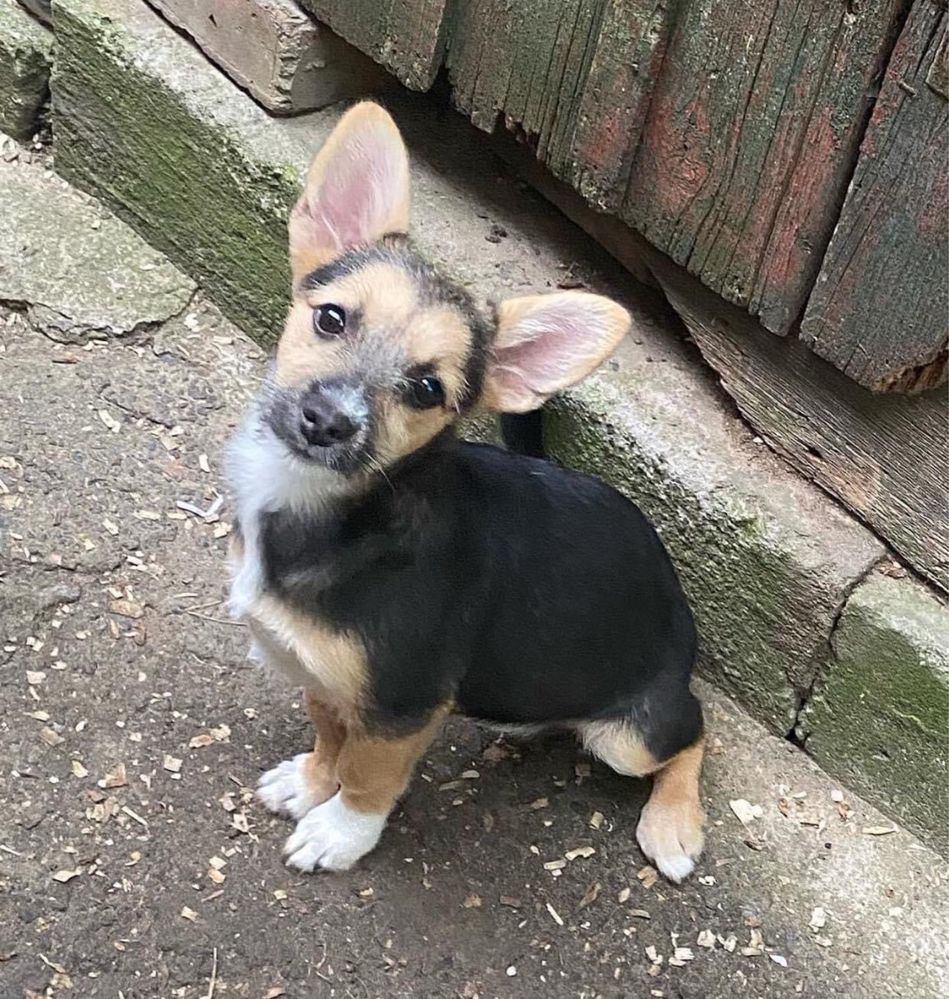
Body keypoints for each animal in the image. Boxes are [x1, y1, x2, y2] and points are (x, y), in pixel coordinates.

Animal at [226, 101, 704, 884]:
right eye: (331, 318)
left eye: (426, 389)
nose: (327, 420)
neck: (334, 507)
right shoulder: (325, 675)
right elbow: (329, 734)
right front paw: (310, 781)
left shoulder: (403, 703)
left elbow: (367, 776)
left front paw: (339, 832)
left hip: (629, 735)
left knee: (692, 733)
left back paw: (673, 823)